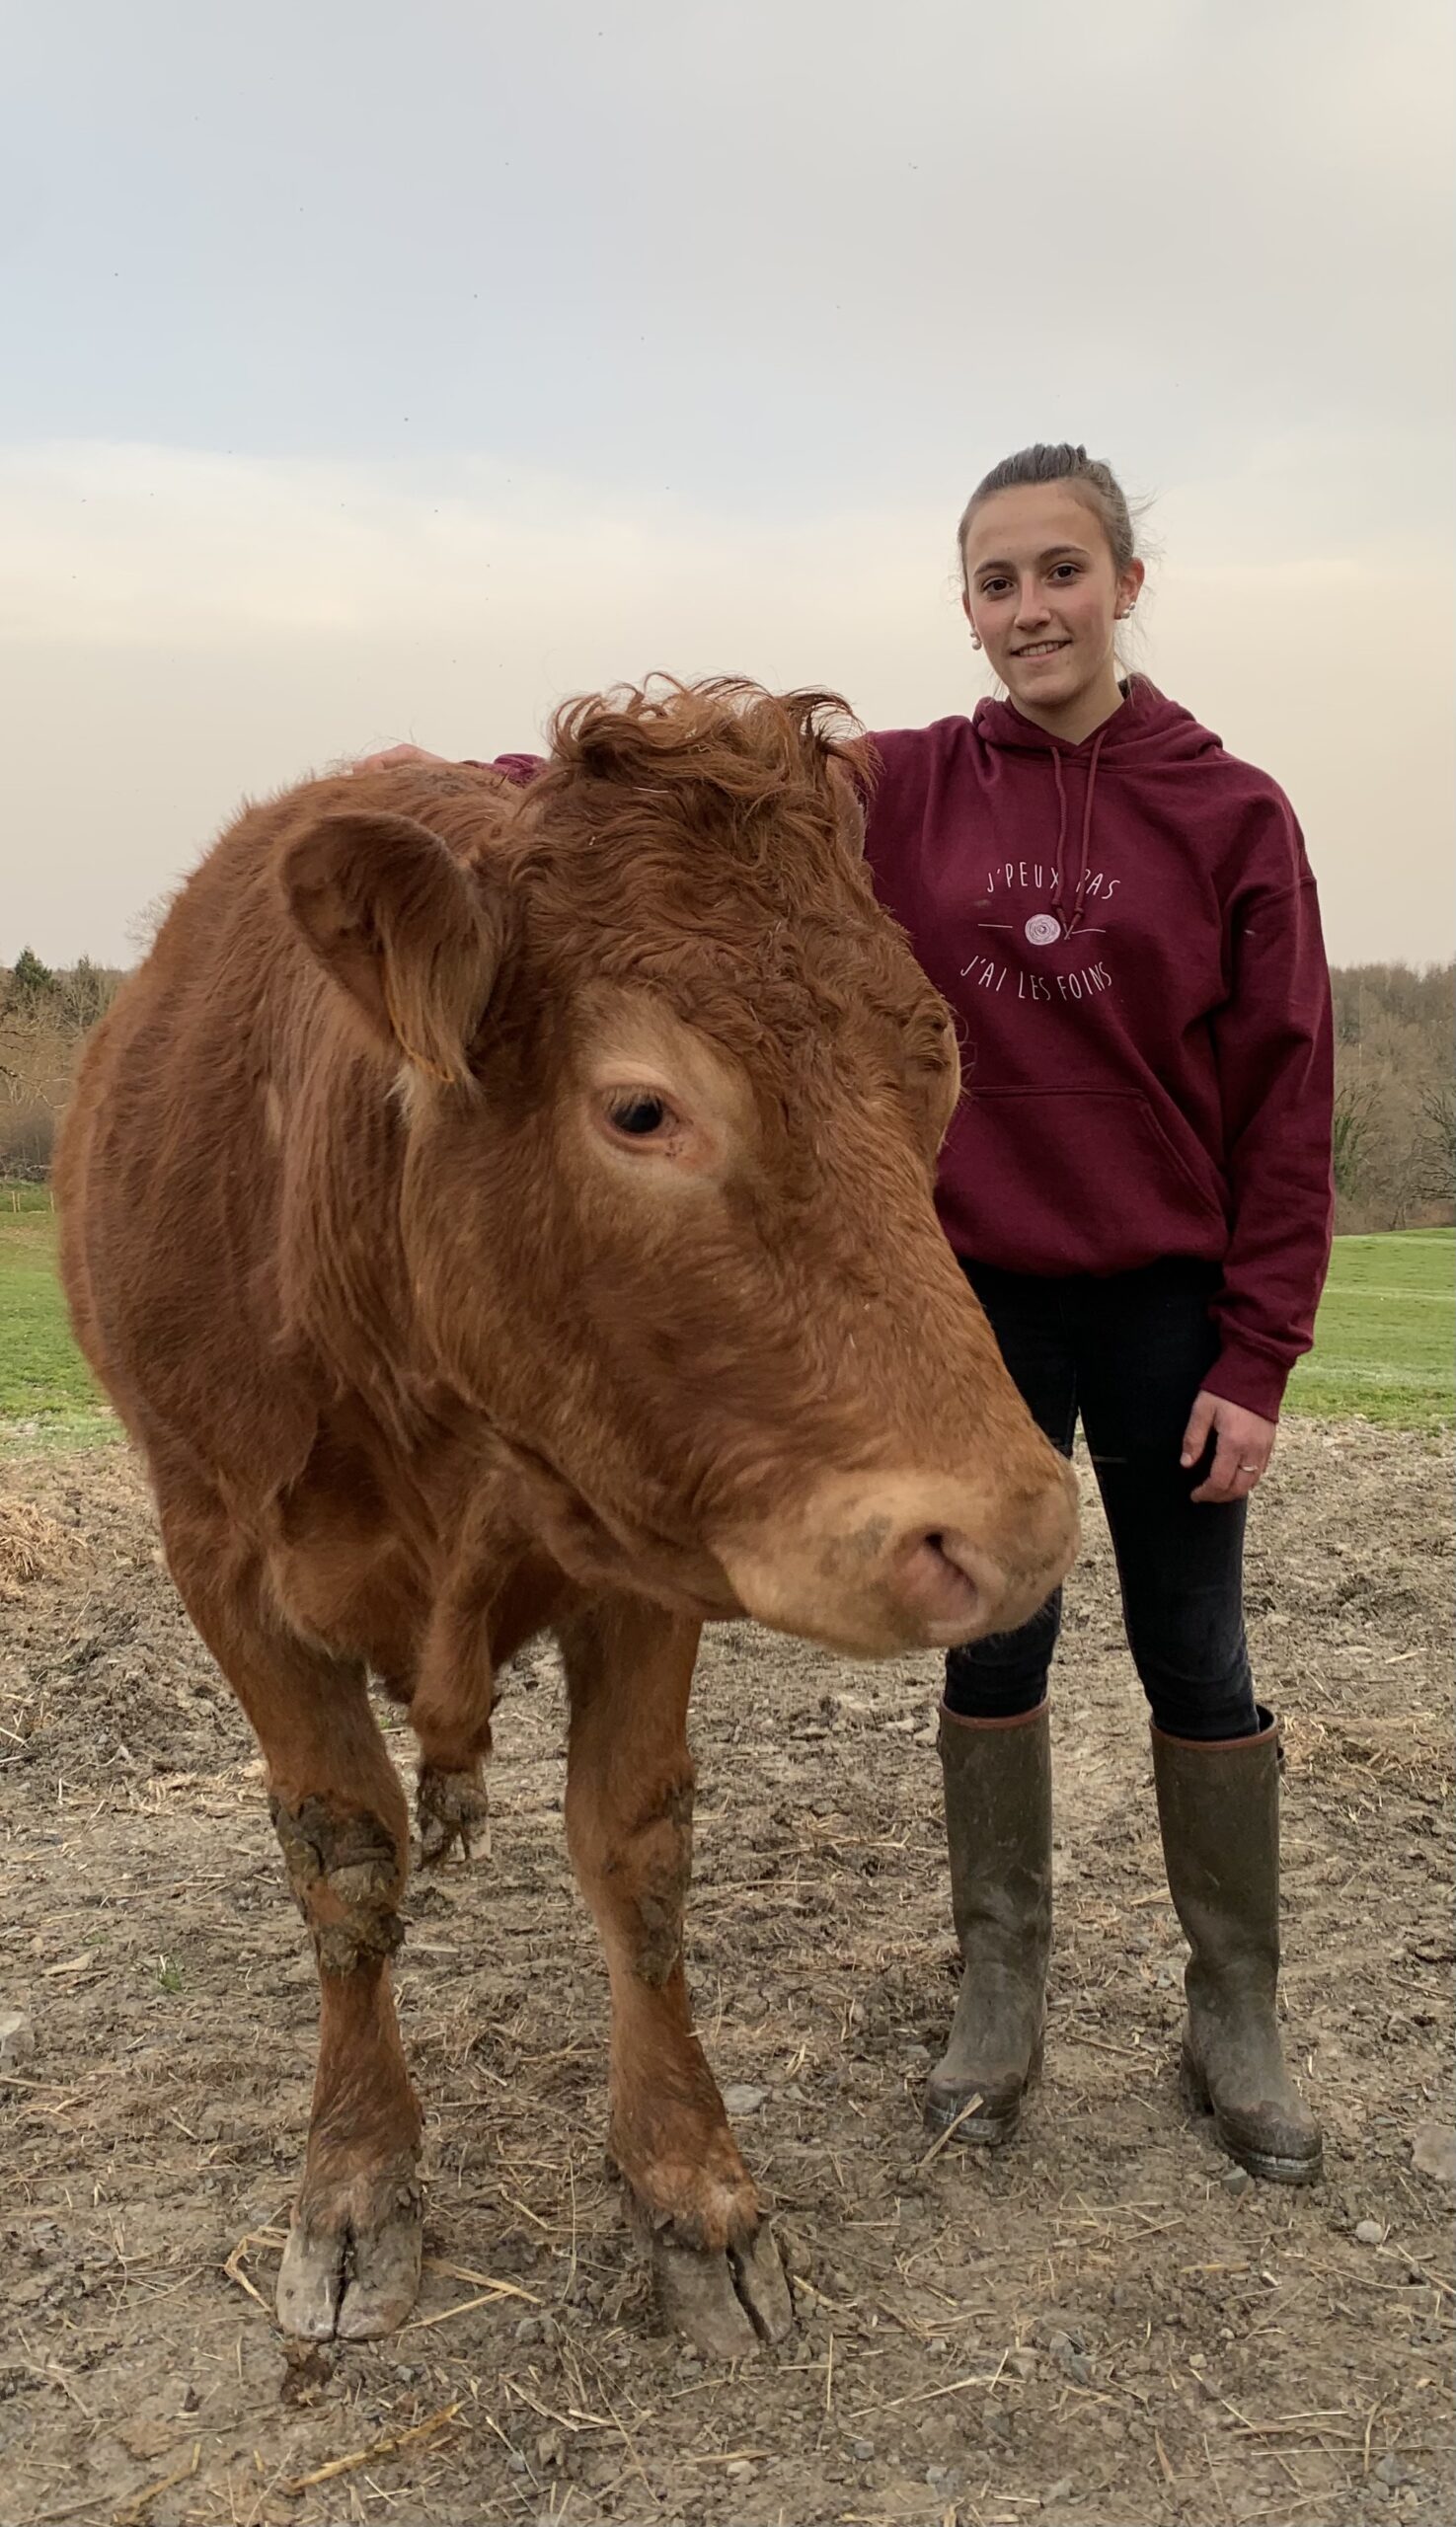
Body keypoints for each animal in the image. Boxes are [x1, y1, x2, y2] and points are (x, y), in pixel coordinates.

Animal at [56, 679, 1077, 2358]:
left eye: (929, 1071)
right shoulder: (220, 1561)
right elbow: (343, 1867)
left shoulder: (649, 1550)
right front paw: (355, 2189)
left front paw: (691, 2188)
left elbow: (635, 1856)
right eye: (641, 1108)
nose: (1007, 1531)